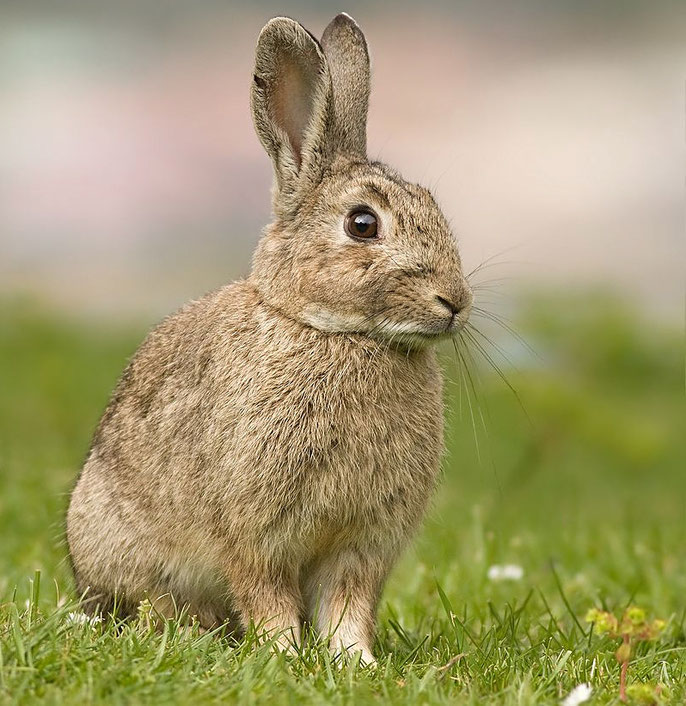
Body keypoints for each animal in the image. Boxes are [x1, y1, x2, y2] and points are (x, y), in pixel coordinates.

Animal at [68, 11, 472, 664]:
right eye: (363, 224)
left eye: (434, 204)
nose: (455, 302)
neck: (335, 332)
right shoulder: (255, 533)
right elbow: (266, 595)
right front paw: (283, 654)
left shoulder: (362, 544)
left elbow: (348, 604)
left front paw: (353, 661)